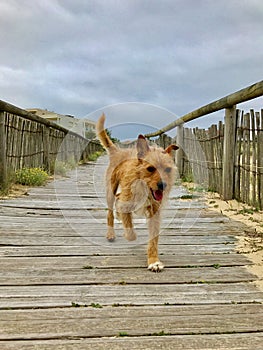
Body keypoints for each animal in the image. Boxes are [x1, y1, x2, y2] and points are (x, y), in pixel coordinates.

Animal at [97, 113, 179, 272]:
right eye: (150, 169)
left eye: (167, 169)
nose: (163, 185)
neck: (144, 188)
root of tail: (118, 151)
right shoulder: (127, 201)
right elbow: (130, 230)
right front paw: (129, 232)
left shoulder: (155, 212)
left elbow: (153, 239)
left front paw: (153, 261)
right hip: (110, 191)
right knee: (110, 211)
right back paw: (111, 233)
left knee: (118, 200)